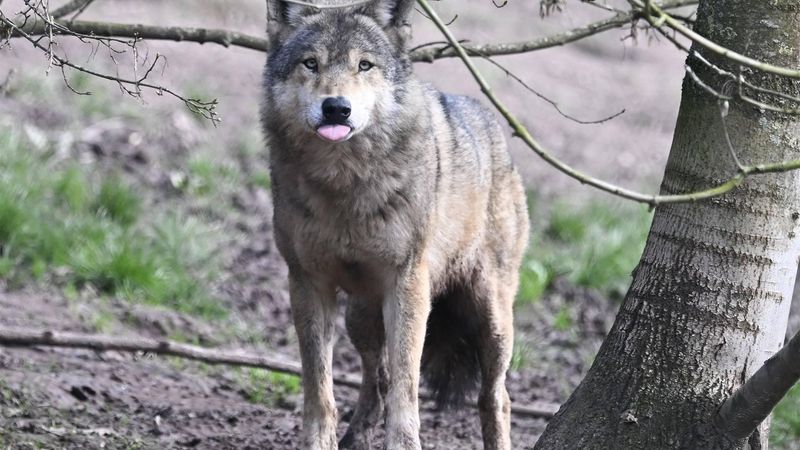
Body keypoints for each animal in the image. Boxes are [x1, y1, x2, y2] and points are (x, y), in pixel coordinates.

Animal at [260, 0, 529, 448]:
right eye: (311, 63)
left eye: (364, 65)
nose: (336, 107)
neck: (344, 183)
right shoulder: (306, 282)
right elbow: (320, 388)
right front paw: (320, 440)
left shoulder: (408, 283)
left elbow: (407, 388)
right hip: (359, 316)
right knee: (376, 378)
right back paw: (355, 436)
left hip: (491, 319)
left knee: (496, 398)